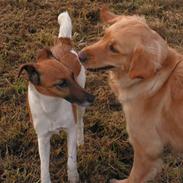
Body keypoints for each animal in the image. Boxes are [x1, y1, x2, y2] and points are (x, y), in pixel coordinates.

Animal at [18, 11, 94, 183]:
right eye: (61, 83)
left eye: (71, 76)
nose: (91, 98)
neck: (51, 106)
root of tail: (63, 43)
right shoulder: (43, 138)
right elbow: (44, 166)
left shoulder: (70, 129)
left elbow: (71, 160)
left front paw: (73, 177)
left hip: (80, 107)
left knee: (80, 122)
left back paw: (81, 141)